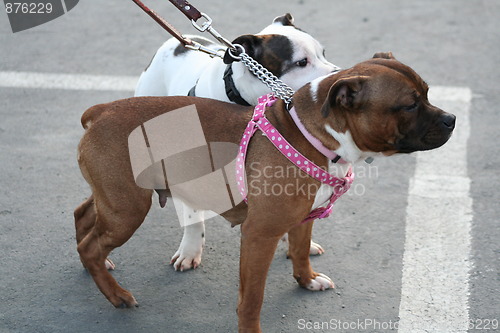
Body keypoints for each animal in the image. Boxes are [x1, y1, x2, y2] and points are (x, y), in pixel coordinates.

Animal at [75, 53, 458, 330]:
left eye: (426, 93)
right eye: (409, 105)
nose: (452, 119)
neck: (315, 135)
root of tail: (102, 111)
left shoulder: (304, 217)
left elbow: (301, 250)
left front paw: (307, 280)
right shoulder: (260, 235)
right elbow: (252, 298)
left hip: (113, 199)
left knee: (83, 219)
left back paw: (97, 269)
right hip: (127, 208)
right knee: (91, 243)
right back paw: (117, 295)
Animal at [135, 13, 342, 270]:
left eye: (323, 53)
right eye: (301, 62)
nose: (340, 74)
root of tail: (178, 42)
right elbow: (194, 216)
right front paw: (190, 250)